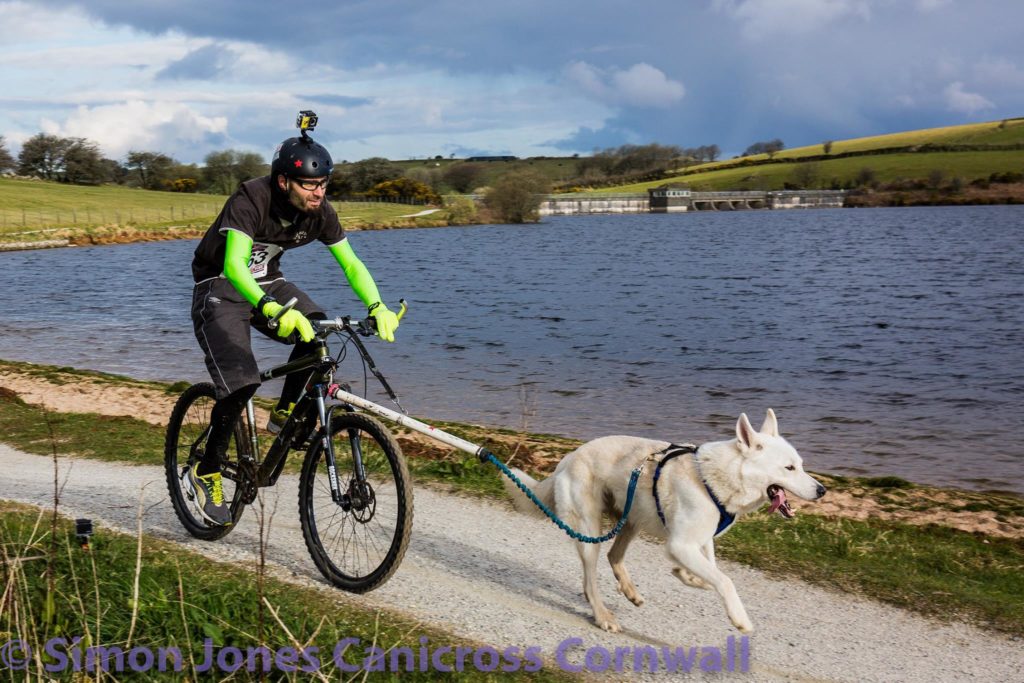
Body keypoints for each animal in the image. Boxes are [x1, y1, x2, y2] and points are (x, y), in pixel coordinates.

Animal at [503, 409, 823, 634]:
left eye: (801, 465)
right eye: (789, 468)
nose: (821, 490)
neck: (717, 478)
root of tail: (566, 460)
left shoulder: (701, 540)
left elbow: (711, 571)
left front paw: (688, 576)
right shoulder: (680, 544)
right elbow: (725, 580)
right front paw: (739, 618)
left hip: (632, 519)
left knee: (613, 556)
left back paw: (629, 591)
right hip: (590, 529)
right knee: (591, 576)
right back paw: (603, 615)